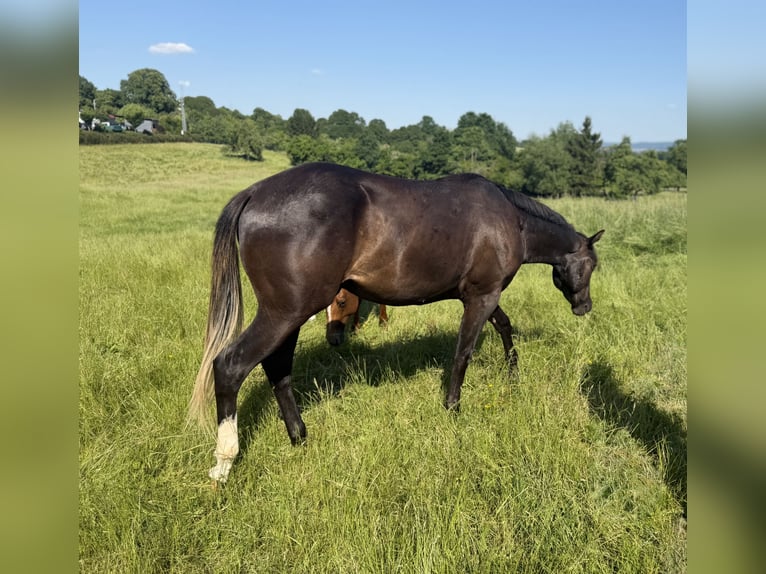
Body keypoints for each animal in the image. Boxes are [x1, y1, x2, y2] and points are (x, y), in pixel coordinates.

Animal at [189, 162, 604, 482]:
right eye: (591, 265)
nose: (584, 306)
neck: (509, 220)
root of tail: (255, 193)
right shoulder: (482, 296)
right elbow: (463, 353)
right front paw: (453, 407)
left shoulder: (481, 295)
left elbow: (504, 326)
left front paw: (513, 374)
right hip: (285, 313)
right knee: (230, 366)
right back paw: (224, 461)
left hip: (289, 314)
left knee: (278, 369)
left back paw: (299, 436)